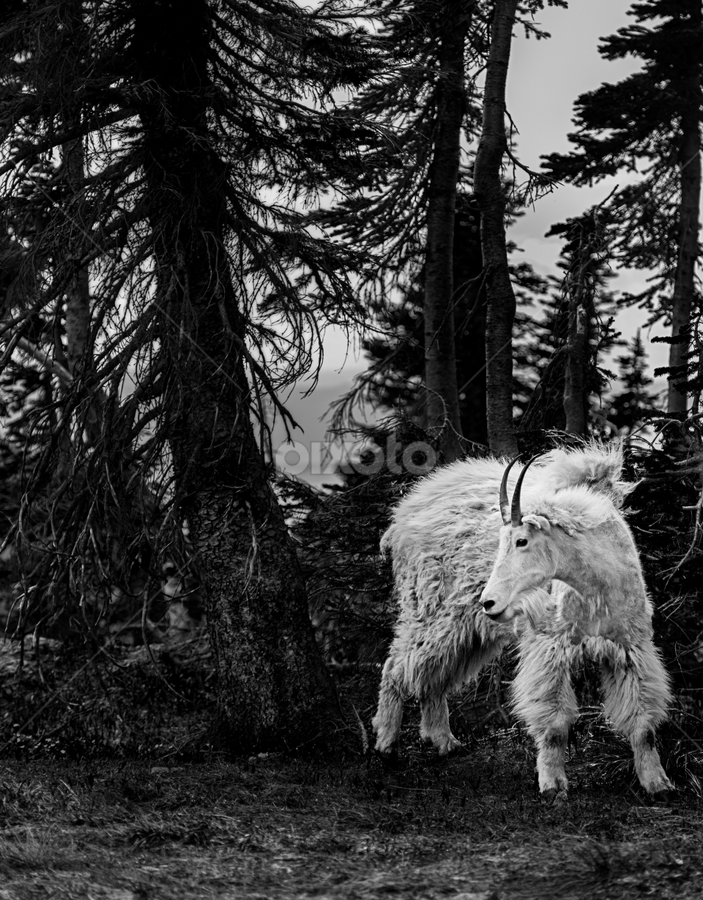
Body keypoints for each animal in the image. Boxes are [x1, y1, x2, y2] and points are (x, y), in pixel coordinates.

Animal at [372, 443, 673, 799]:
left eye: (521, 541)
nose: (488, 600)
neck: (597, 587)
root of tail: (403, 516)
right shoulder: (550, 649)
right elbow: (555, 725)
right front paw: (553, 785)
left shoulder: (630, 650)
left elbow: (643, 726)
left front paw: (658, 784)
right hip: (431, 612)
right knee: (397, 666)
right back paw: (386, 745)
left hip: (467, 629)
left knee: (434, 675)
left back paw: (444, 742)